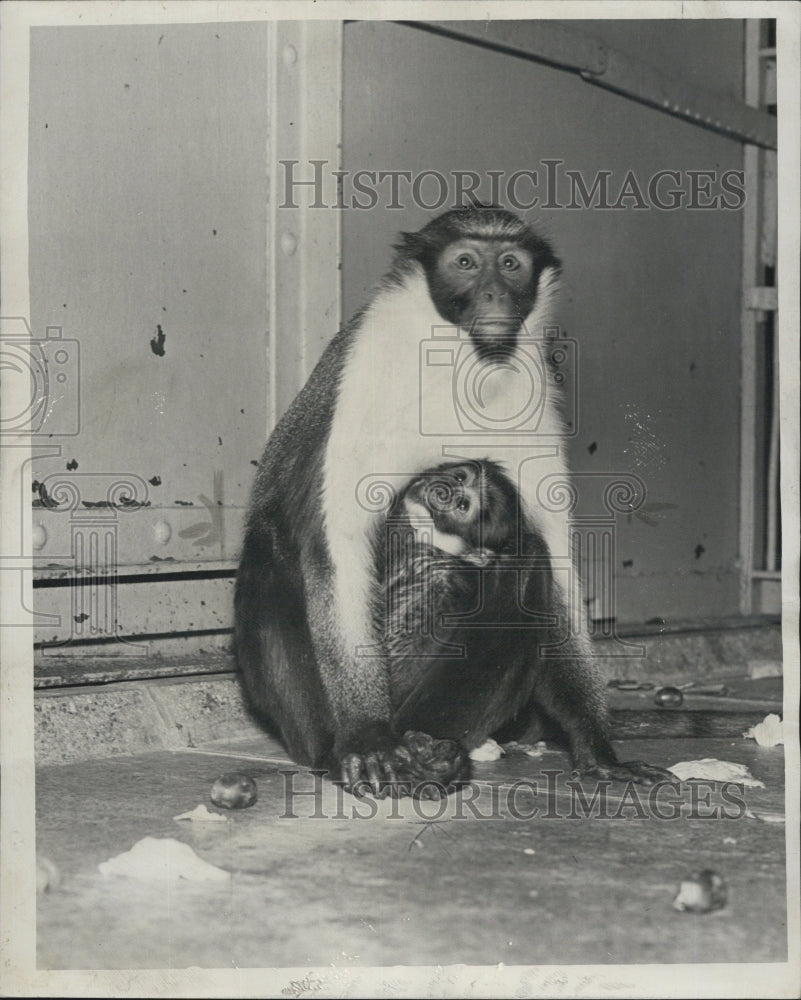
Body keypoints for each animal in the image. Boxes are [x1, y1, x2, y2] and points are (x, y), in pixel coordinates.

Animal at [233, 207, 668, 800]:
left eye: (511, 264)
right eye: (465, 262)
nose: (494, 295)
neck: (463, 360)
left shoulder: (535, 393)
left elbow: (551, 558)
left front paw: (598, 751)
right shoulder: (364, 376)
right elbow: (340, 541)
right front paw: (368, 739)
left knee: (524, 559)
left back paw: (434, 752)